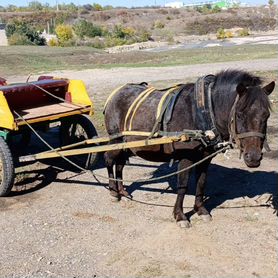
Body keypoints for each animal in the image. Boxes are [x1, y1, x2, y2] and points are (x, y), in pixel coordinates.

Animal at [103, 69, 274, 228]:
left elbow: (201, 182)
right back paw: (113, 191)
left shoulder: (205, 158)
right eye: (239, 114)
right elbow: (183, 186)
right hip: (116, 140)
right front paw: (180, 216)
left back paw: (123, 191)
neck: (203, 111)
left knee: (120, 164)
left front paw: (201, 210)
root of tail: (116, 93)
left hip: (126, 145)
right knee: (109, 160)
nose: (253, 158)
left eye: (266, 115)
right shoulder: (186, 157)